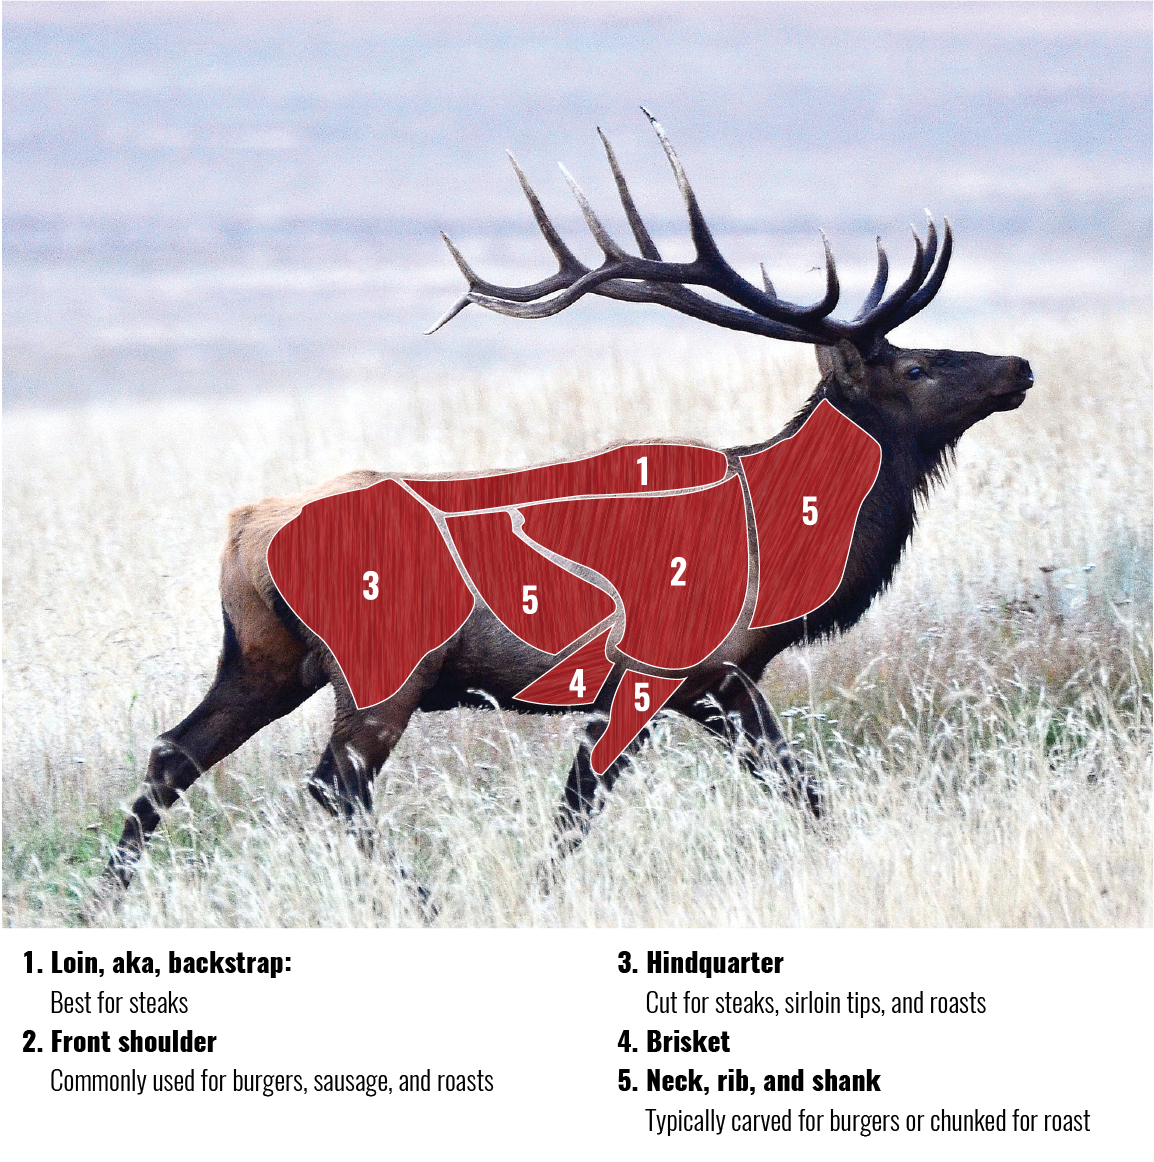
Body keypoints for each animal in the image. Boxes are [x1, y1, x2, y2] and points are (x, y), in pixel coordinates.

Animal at [97, 111, 1032, 908]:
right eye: (915, 366)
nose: (1019, 366)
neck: (782, 541)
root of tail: (241, 532)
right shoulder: (669, 670)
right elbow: (591, 806)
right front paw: (538, 896)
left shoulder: (721, 679)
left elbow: (788, 782)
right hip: (384, 668)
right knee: (333, 784)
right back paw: (427, 902)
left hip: (263, 656)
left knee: (172, 752)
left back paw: (101, 900)